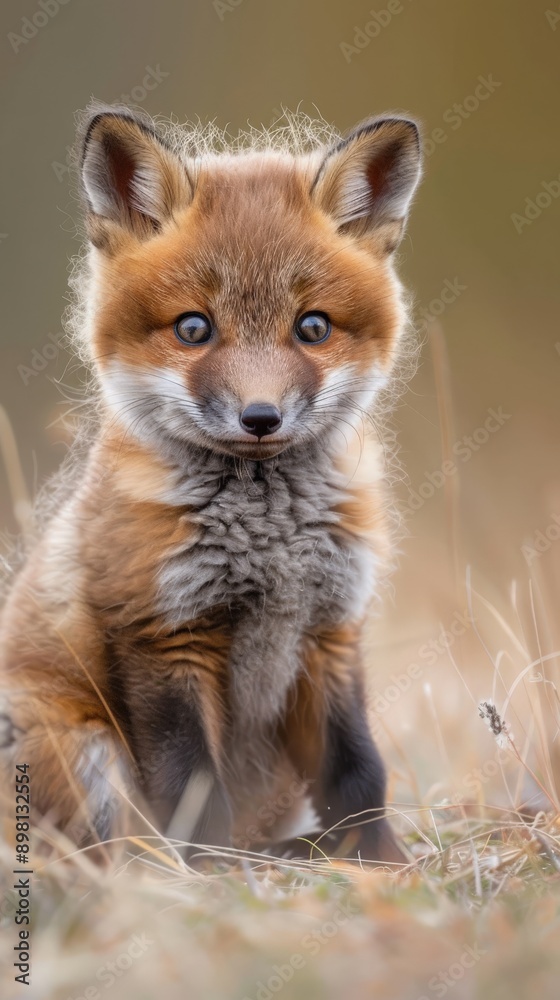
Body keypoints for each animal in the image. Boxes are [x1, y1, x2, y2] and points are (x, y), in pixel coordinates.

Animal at [0, 104, 422, 865]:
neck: (271, 547)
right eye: (194, 328)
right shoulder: (164, 634)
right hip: (83, 749)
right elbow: (194, 788)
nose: (260, 417)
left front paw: (380, 863)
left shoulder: (330, 631)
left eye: (312, 328)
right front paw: (214, 874)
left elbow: (358, 769)